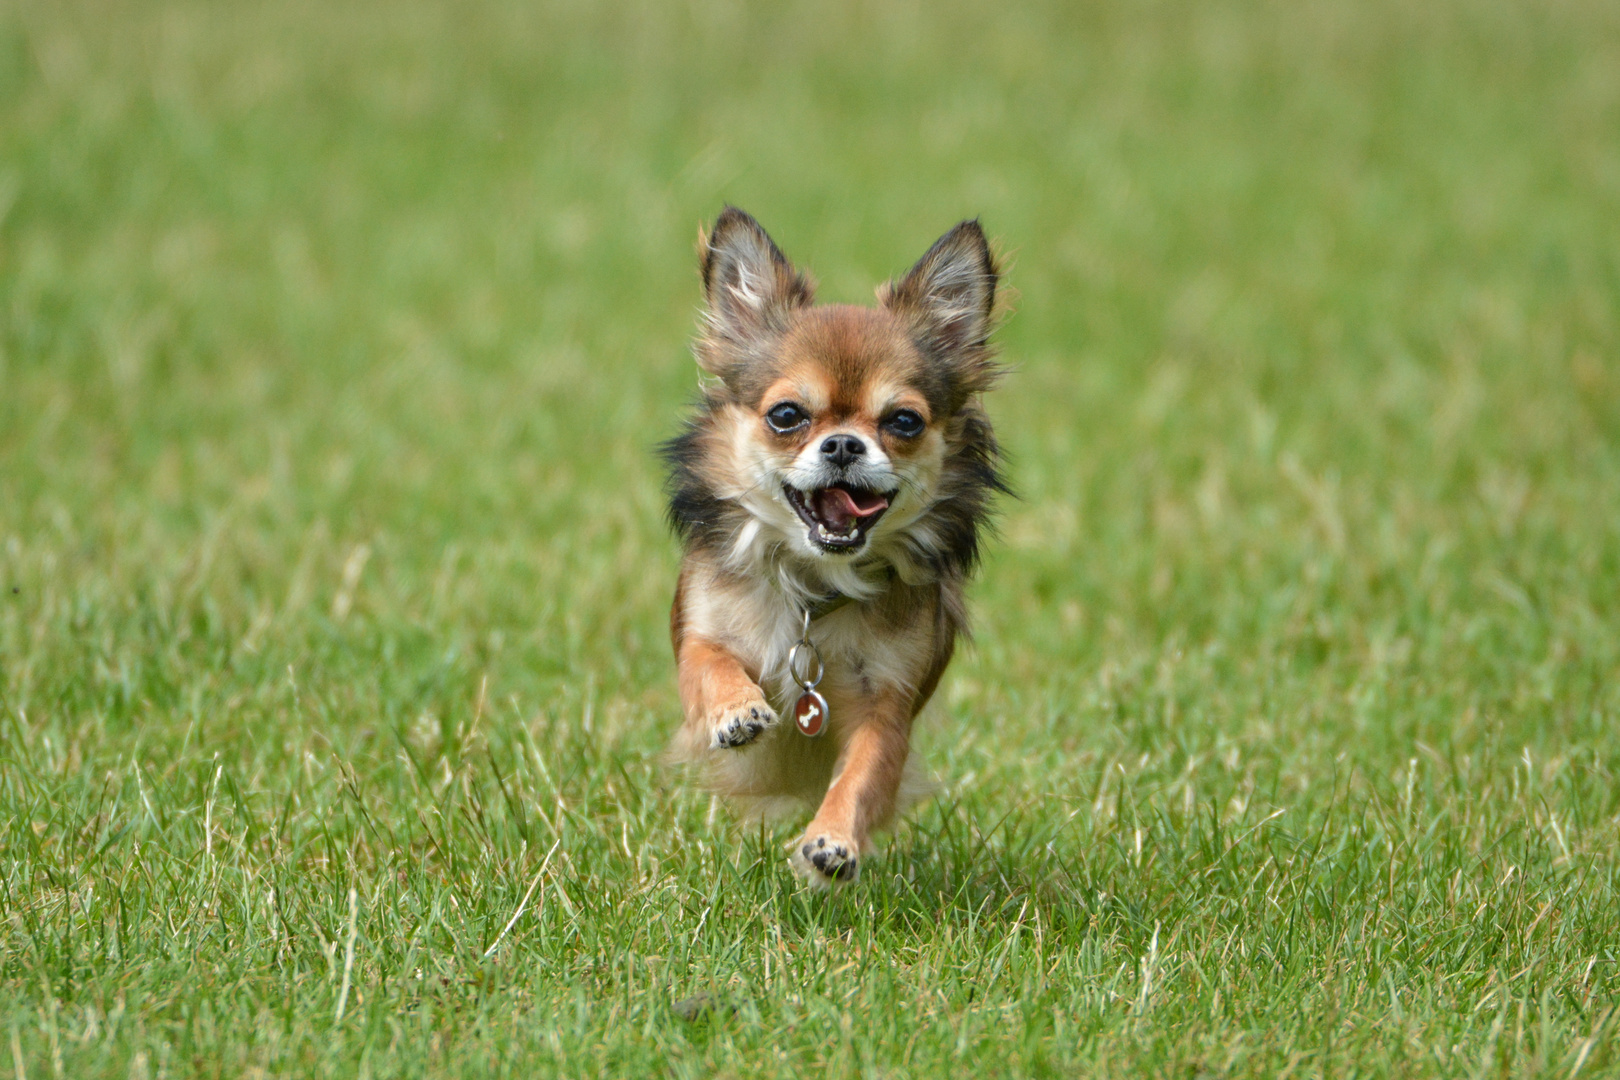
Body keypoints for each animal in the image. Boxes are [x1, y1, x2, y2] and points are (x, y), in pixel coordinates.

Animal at [660, 204, 997, 887]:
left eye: (904, 422)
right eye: (787, 415)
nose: (843, 443)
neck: (814, 582)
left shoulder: (885, 707)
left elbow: (863, 778)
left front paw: (832, 842)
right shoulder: (699, 631)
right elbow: (710, 665)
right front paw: (737, 711)